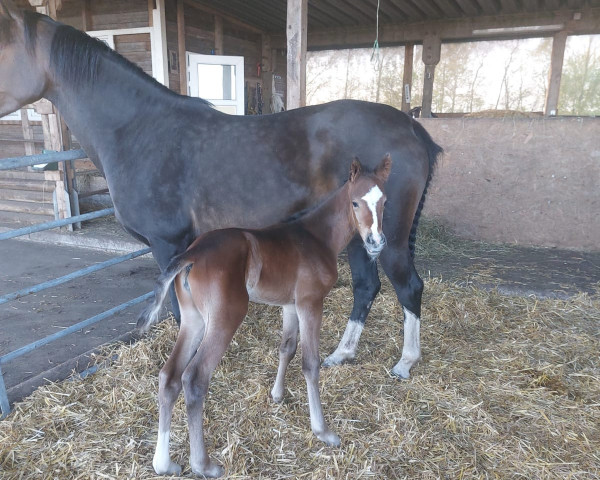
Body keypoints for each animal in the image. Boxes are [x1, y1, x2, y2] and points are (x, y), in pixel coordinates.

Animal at [138, 155, 394, 476]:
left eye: (384, 201)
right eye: (356, 202)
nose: (375, 242)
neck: (317, 237)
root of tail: (192, 253)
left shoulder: (290, 305)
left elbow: (286, 347)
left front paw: (277, 395)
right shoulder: (311, 302)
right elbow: (310, 363)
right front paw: (323, 431)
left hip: (193, 320)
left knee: (169, 376)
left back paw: (164, 463)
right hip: (225, 318)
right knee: (194, 379)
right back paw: (203, 464)